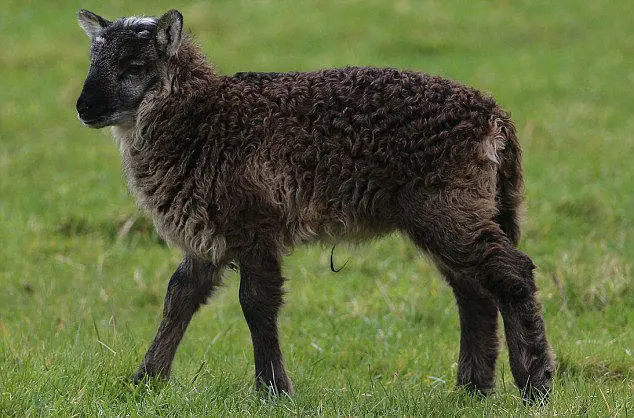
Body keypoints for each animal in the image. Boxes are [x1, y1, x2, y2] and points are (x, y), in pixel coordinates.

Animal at [75, 9, 552, 400]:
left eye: (135, 66)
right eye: (94, 64)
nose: (83, 107)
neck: (202, 118)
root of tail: (496, 119)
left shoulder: (254, 222)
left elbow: (256, 302)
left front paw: (272, 390)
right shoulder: (210, 231)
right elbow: (180, 295)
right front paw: (146, 380)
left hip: (448, 207)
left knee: (512, 274)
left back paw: (535, 385)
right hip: (456, 209)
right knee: (473, 291)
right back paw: (473, 389)